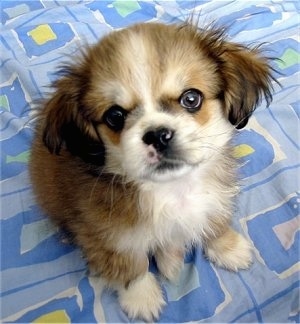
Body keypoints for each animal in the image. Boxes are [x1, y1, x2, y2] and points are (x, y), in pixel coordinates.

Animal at [29, 21, 274, 320]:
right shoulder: (108, 234)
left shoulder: (215, 199)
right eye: (115, 116)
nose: (158, 135)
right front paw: (141, 297)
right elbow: (130, 264)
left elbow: (215, 223)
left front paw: (228, 248)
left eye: (191, 98)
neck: (172, 190)